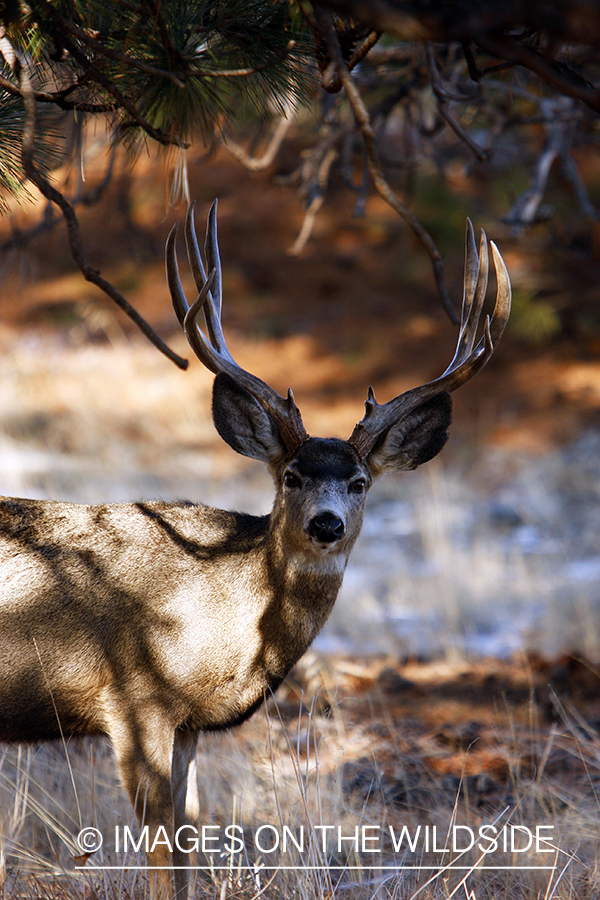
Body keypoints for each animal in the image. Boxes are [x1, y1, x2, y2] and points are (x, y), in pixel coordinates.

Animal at [0, 201, 510, 898]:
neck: (216, 621)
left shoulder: (188, 727)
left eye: (360, 481)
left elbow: (190, 837)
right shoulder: (133, 700)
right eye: (291, 476)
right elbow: (160, 848)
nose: (327, 524)